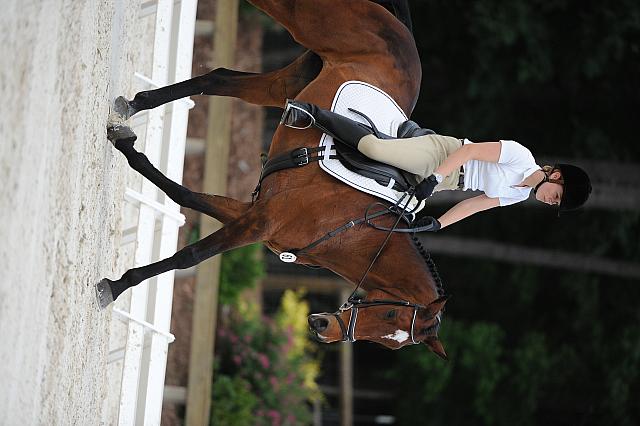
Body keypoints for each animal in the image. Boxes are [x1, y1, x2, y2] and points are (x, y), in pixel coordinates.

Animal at [101, 0, 450, 358]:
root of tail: (403, 32)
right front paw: (114, 287)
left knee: (221, 79)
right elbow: (190, 256)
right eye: (390, 313)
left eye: (390, 341)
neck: (353, 232)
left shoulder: (252, 214)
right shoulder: (261, 222)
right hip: (305, 21)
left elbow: (183, 196)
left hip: (288, 83)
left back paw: (134, 104)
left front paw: (128, 147)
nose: (321, 328)